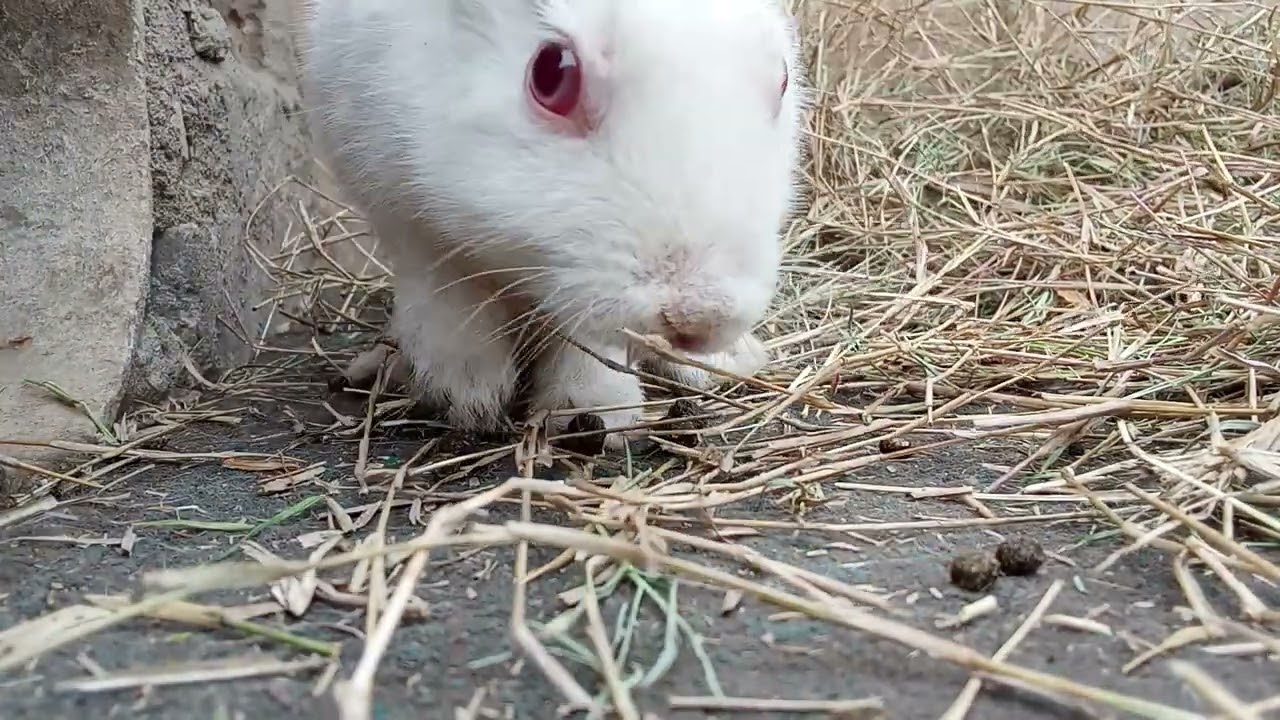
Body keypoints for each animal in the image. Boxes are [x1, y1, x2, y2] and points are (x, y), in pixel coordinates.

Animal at [291, 0, 809, 448]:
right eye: (551, 73)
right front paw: (468, 400)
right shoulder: (414, 228)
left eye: (783, 79)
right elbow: (453, 308)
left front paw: (592, 414)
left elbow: (583, 340)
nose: (698, 318)